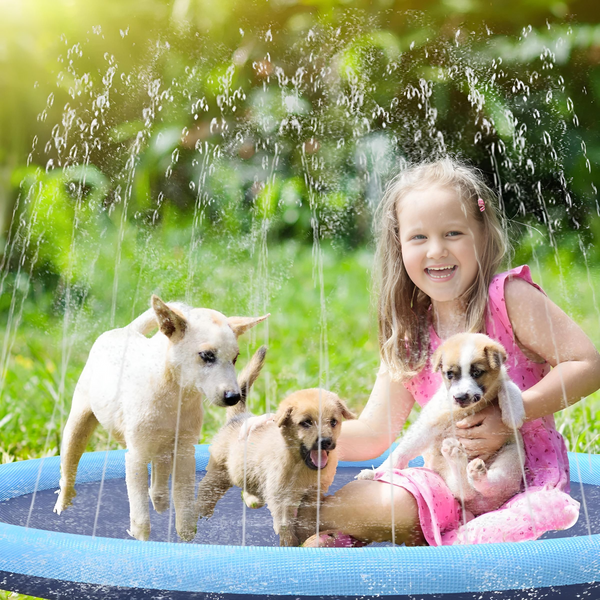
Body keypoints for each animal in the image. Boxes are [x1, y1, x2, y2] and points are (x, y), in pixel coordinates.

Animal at [52, 296, 268, 544]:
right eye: (207, 356)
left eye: (235, 358)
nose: (234, 397)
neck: (175, 395)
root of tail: (125, 331)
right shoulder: (135, 457)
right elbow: (141, 520)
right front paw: (143, 542)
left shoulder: (185, 453)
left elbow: (185, 514)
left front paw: (186, 540)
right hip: (78, 421)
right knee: (69, 469)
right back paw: (62, 508)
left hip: (164, 450)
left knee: (158, 487)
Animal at [197, 386, 356, 548]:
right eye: (306, 422)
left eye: (333, 422)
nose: (326, 441)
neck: (300, 465)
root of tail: (239, 417)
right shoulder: (281, 497)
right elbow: (285, 525)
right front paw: (290, 544)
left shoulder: (312, 494)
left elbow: (306, 520)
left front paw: (307, 538)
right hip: (219, 473)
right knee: (205, 490)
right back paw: (199, 516)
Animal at [358, 332, 528, 516]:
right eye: (450, 374)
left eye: (476, 372)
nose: (460, 397)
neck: (466, 409)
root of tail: (481, 505)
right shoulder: (429, 423)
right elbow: (401, 452)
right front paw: (375, 472)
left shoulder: (501, 380)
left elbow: (508, 385)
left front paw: (513, 413)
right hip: (446, 471)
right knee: (465, 490)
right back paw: (458, 458)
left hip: (511, 456)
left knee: (488, 484)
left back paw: (474, 471)